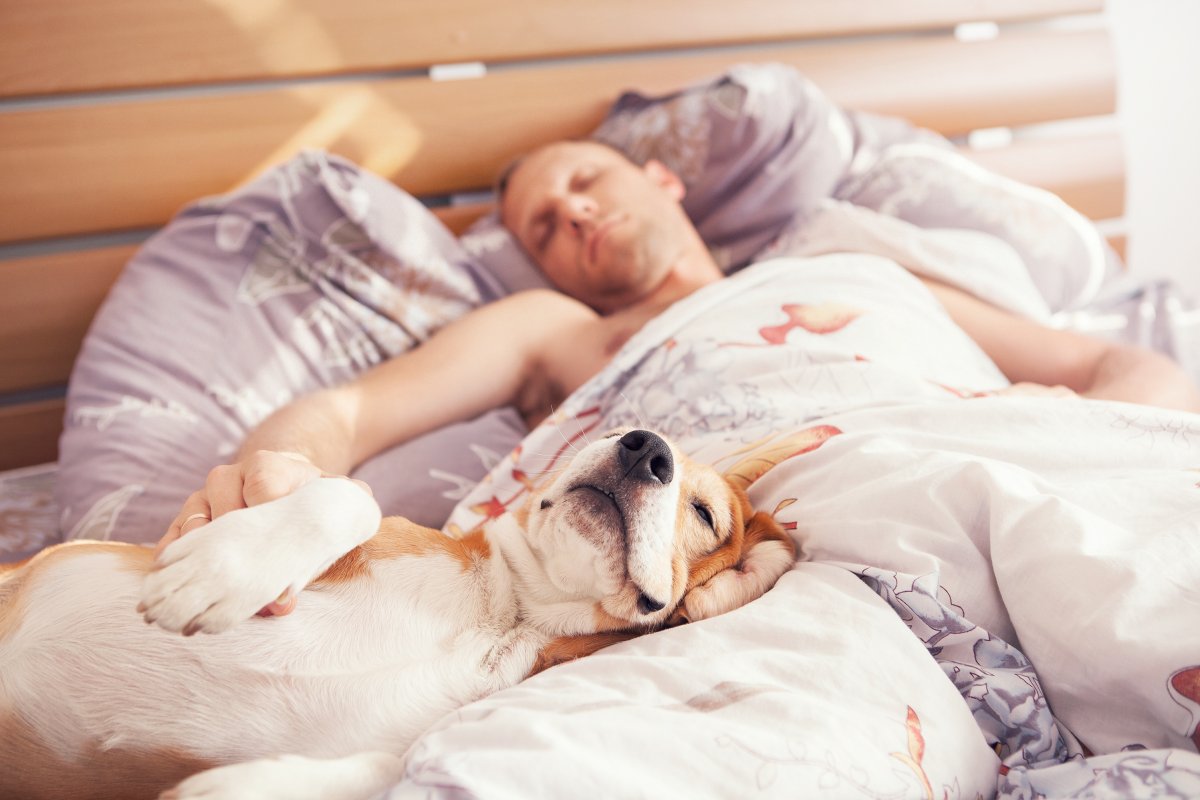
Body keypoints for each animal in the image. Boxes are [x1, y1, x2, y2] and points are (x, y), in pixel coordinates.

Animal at [0, 429, 796, 796]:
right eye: (621, 430)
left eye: (705, 513)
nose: (644, 447)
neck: (502, 609)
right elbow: (349, 495)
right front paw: (223, 567)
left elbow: (392, 764)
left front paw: (239, 787)